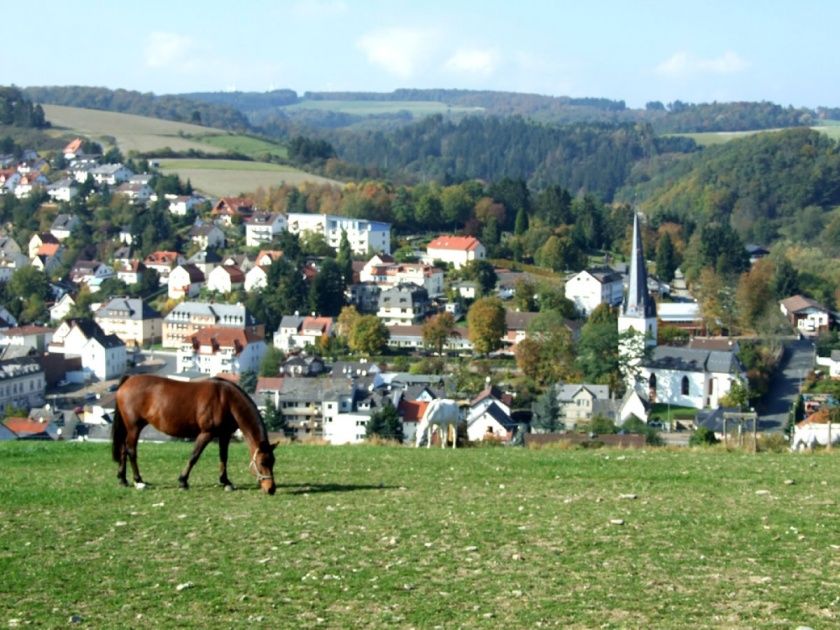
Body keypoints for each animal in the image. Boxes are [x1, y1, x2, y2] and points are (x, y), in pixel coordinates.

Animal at [110, 376, 276, 494]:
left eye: (273, 462)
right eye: (262, 463)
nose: (271, 489)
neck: (226, 399)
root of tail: (128, 380)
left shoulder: (224, 435)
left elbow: (223, 457)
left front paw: (226, 481)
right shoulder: (206, 433)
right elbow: (194, 456)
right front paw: (183, 481)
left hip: (128, 428)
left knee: (123, 449)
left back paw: (123, 479)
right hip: (134, 427)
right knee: (131, 450)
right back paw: (139, 481)